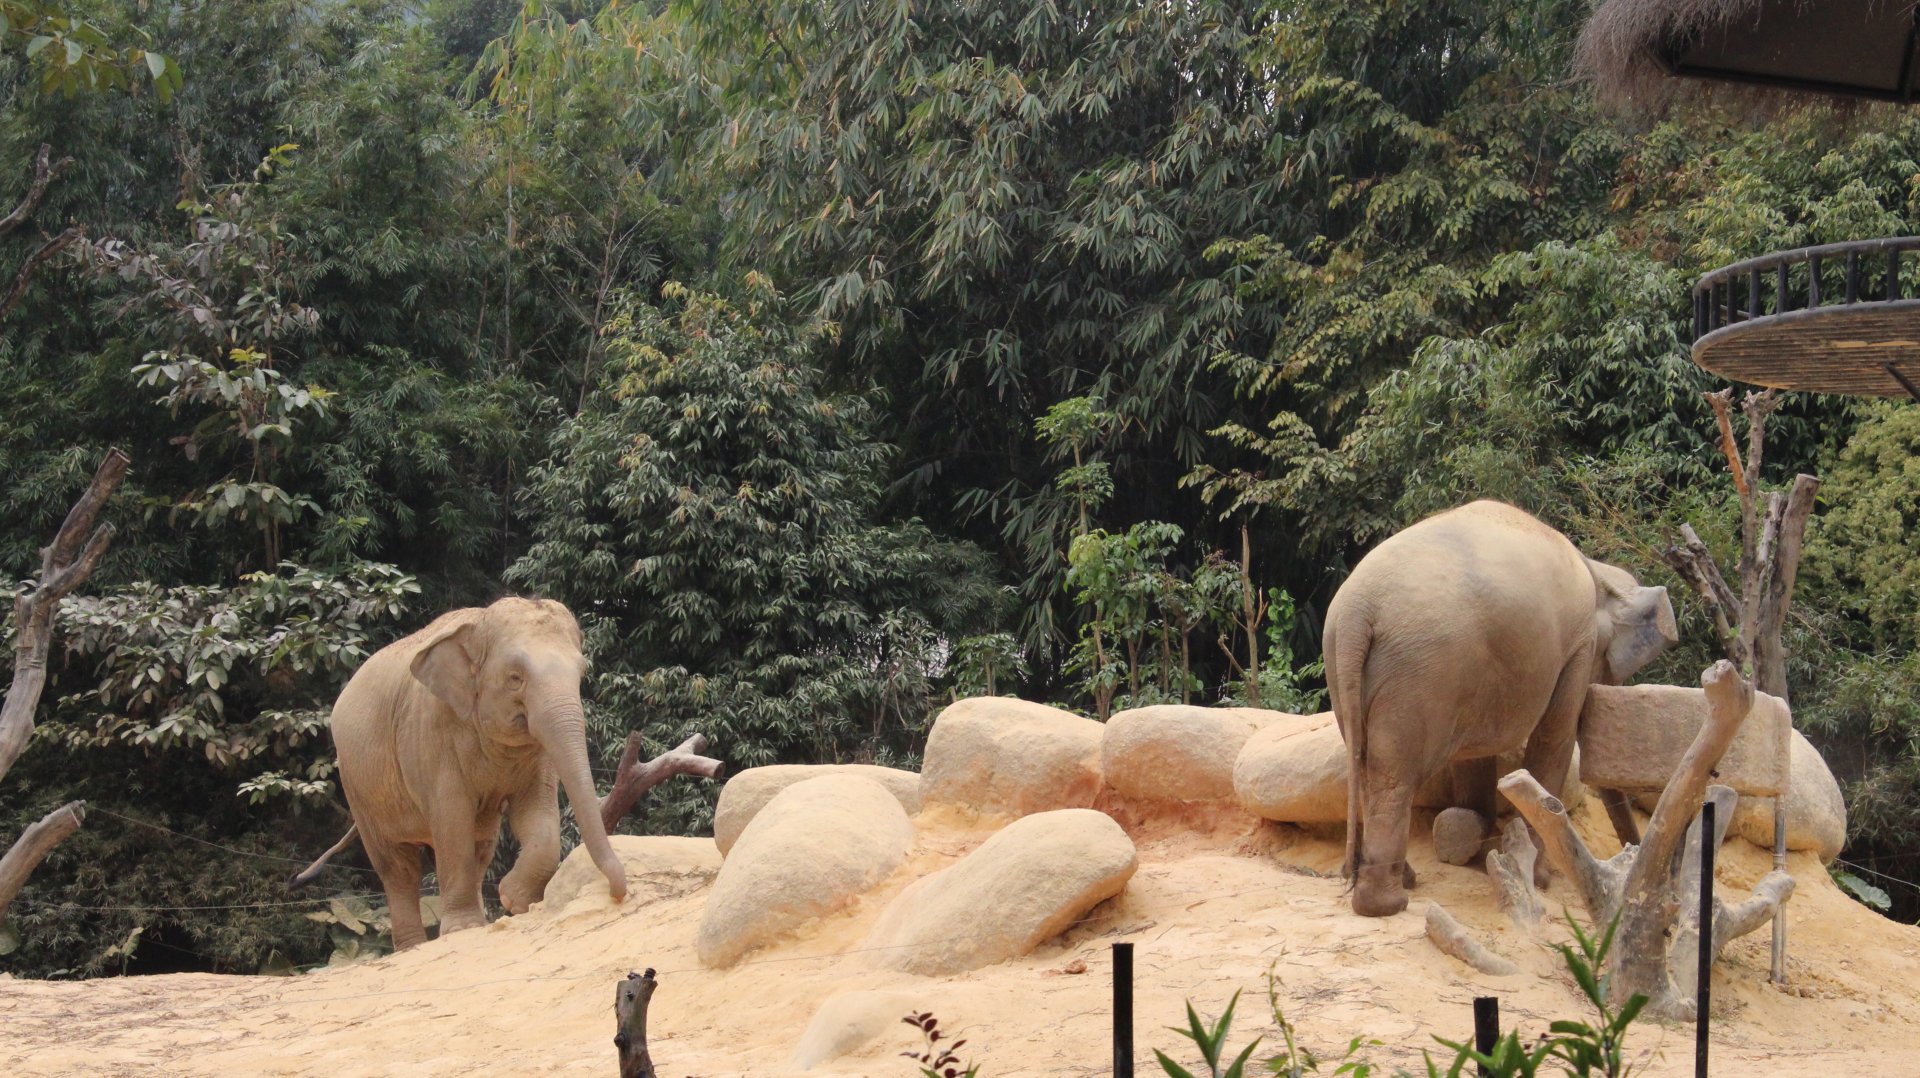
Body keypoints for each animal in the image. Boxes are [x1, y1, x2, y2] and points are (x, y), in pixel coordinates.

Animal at [291, 597, 627, 948]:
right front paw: (465, 926)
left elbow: (537, 812)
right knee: (398, 867)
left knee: (480, 846)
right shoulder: (431, 734)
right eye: (515, 678)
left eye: (581, 673)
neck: (477, 625)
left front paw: (512, 899)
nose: (617, 894)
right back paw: (415, 945)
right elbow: (452, 819)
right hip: (358, 787)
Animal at [1324, 500, 1677, 918]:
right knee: (1394, 776)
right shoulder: (1579, 645)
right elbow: (1554, 737)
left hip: (1352, 668)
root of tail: (1356, 611)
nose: (1632, 848)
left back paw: (1402, 880)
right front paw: (1540, 880)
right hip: (1421, 671)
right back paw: (1387, 903)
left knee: (1364, 761)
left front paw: (1482, 848)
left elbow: (1475, 755)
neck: (1597, 572)